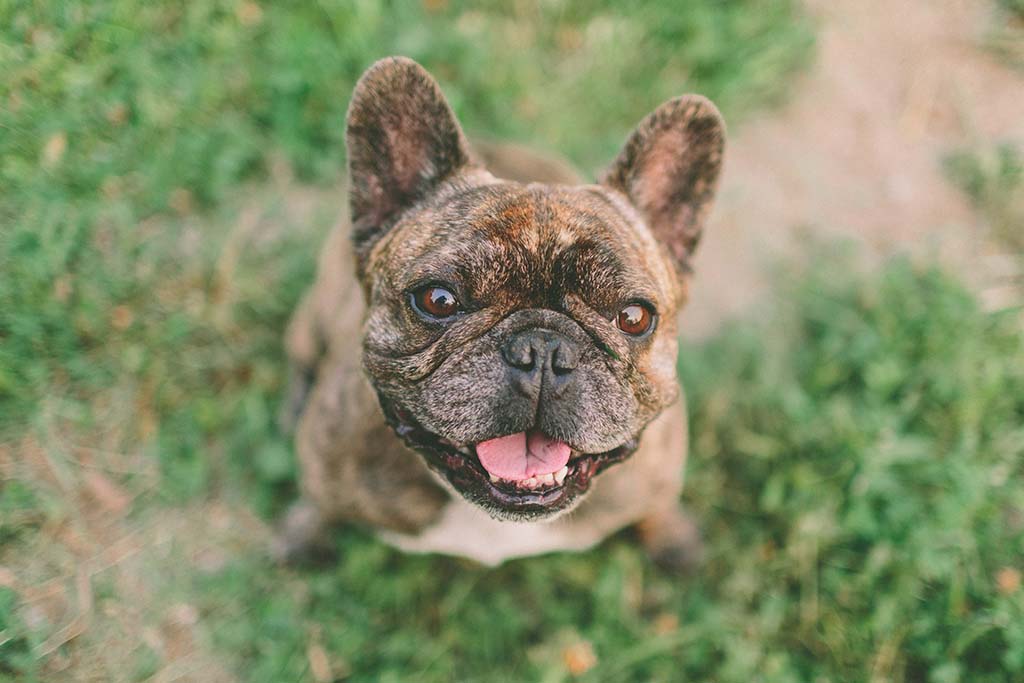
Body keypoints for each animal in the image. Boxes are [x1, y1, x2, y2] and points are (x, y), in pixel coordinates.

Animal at [276, 57, 724, 573]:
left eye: (633, 317)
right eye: (438, 300)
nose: (542, 350)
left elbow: (658, 505)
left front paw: (673, 539)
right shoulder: (326, 462)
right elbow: (320, 502)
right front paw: (305, 533)